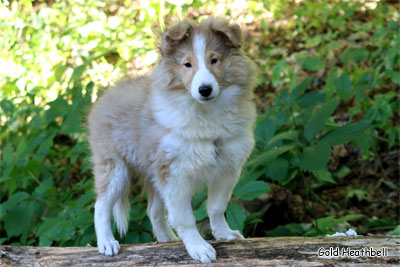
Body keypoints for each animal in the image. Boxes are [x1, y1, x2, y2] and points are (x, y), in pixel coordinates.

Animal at [87, 17, 256, 264]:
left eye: (214, 60)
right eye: (187, 64)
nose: (205, 89)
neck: (205, 113)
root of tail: (104, 96)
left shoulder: (226, 169)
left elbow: (216, 208)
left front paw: (224, 234)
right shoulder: (175, 174)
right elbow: (185, 218)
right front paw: (199, 248)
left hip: (153, 173)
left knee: (153, 211)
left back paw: (167, 240)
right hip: (115, 167)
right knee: (101, 206)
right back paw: (107, 243)